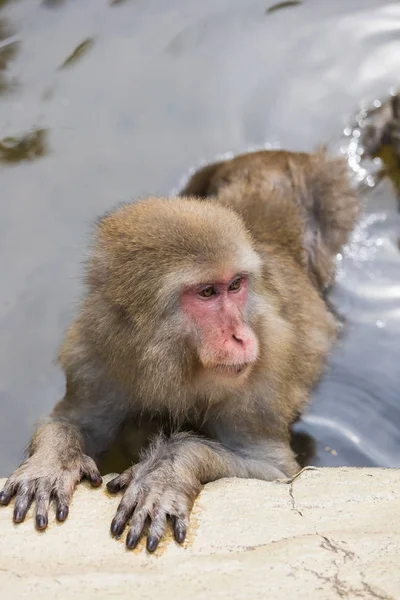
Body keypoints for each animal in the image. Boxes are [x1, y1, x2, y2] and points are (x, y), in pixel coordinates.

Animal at [0, 149, 356, 552]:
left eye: (235, 285)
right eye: (207, 293)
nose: (241, 337)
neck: (173, 359)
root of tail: (275, 157)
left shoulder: (258, 382)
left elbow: (277, 473)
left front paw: (166, 469)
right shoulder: (95, 356)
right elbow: (71, 422)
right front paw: (49, 462)